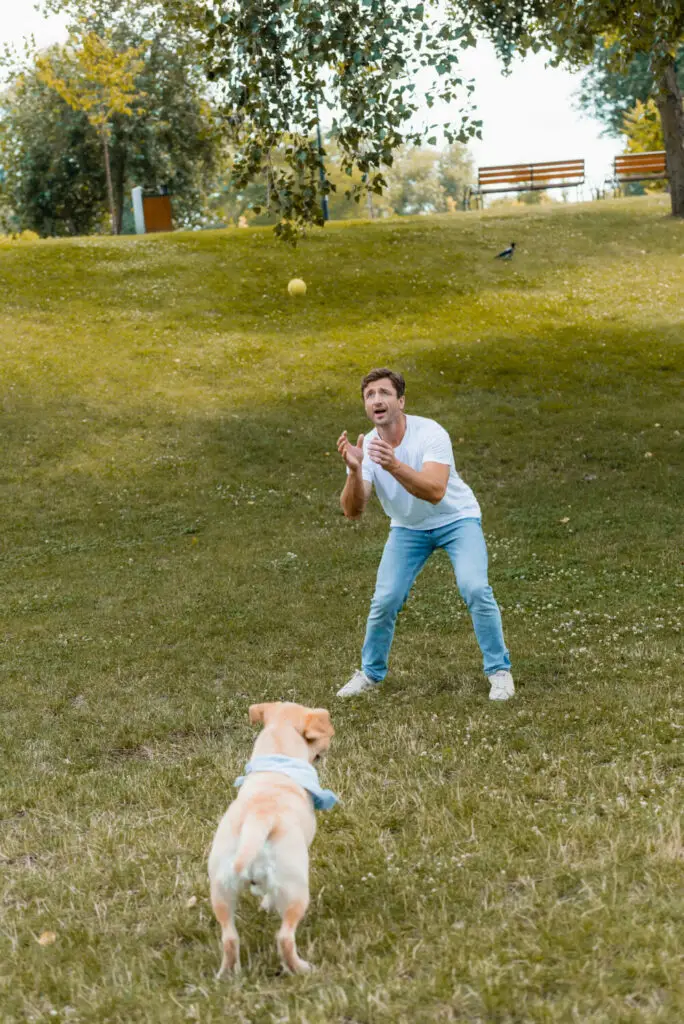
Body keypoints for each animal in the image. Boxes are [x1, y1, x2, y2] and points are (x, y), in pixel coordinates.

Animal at [208, 704, 335, 974]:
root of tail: (257, 820)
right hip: (296, 890)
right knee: (285, 937)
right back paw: (301, 968)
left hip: (221, 891)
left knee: (229, 938)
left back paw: (227, 973)